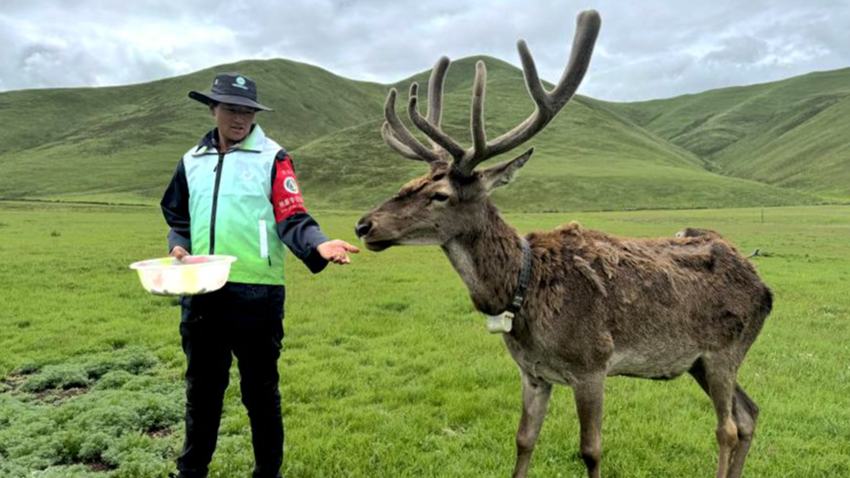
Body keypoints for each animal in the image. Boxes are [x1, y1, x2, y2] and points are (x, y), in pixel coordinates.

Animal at [354, 10, 772, 478]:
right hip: (698, 361)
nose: (365, 225)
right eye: (408, 182)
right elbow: (522, 440)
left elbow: (590, 450)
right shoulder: (533, 373)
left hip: (723, 350)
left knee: (728, 428)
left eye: (440, 194)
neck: (522, 292)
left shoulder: (592, 365)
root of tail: (765, 288)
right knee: (750, 413)